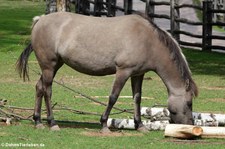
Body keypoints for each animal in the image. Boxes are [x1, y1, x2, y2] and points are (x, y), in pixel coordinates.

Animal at [16, 11, 198, 133]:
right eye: (189, 103)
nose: (190, 124)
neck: (148, 41)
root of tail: (40, 20)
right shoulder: (123, 71)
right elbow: (113, 97)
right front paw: (104, 125)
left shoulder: (137, 74)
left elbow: (137, 99)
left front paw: (140, 126)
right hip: (49, 66)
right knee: (47, 90)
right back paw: (52, 123)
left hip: (54, 66)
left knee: (39, 88)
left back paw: (38, 121)